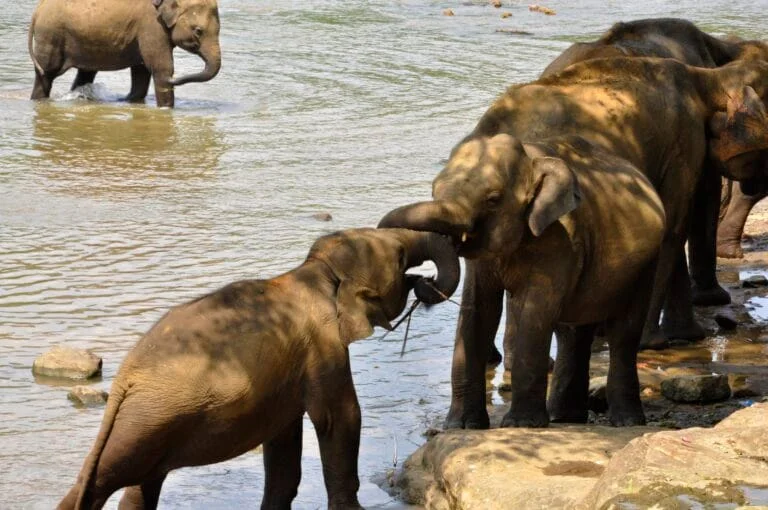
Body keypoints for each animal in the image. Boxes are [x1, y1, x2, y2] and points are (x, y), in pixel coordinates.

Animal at [28, 0, 222, 107]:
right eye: (198, 31)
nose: (174, 80)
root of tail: (37, 10)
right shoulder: (151, 25)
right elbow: (160, 68)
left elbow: (141, 71)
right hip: (51, 35)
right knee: (47, 74)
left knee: (85, 73)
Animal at [57, 228, 460, 510]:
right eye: (402, 255)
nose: (425, 284)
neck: (317, 271)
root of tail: (125, 380)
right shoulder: (323, 347)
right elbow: (339, 418)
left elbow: (283, 443)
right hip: (149, 419)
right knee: (105, 478)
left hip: (150, 419)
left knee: (139, 486)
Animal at [379, 56, 768, 429]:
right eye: (435, 190)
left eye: (492, 200)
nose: (419, 282)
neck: (706, 76)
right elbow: (478, 310)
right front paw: (462, 426)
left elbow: (675, 228)